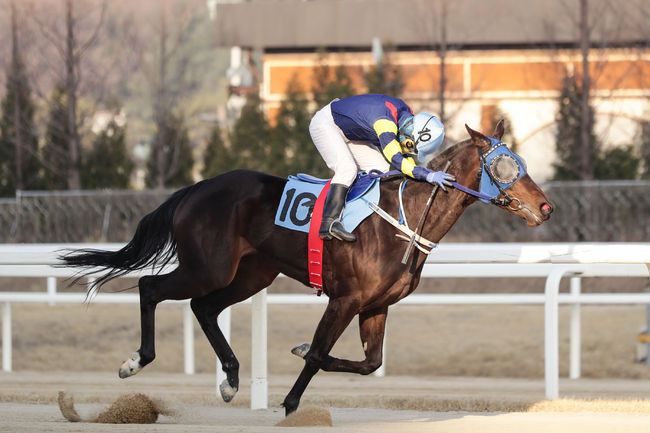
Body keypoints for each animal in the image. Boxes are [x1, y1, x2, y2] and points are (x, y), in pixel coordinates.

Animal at [60, 121, 552, 416]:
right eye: (504, 164)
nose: (546, 207)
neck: (405, 219)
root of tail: (195, 188)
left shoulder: (376, 306)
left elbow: (369, 363)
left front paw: (296, 355)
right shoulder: (346, 298)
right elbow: (317, 354)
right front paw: (290, 403)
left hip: (251, 274)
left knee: (204, 308)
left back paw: (231, 379)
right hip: (209, 267)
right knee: (150, 287)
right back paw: (135, 361)